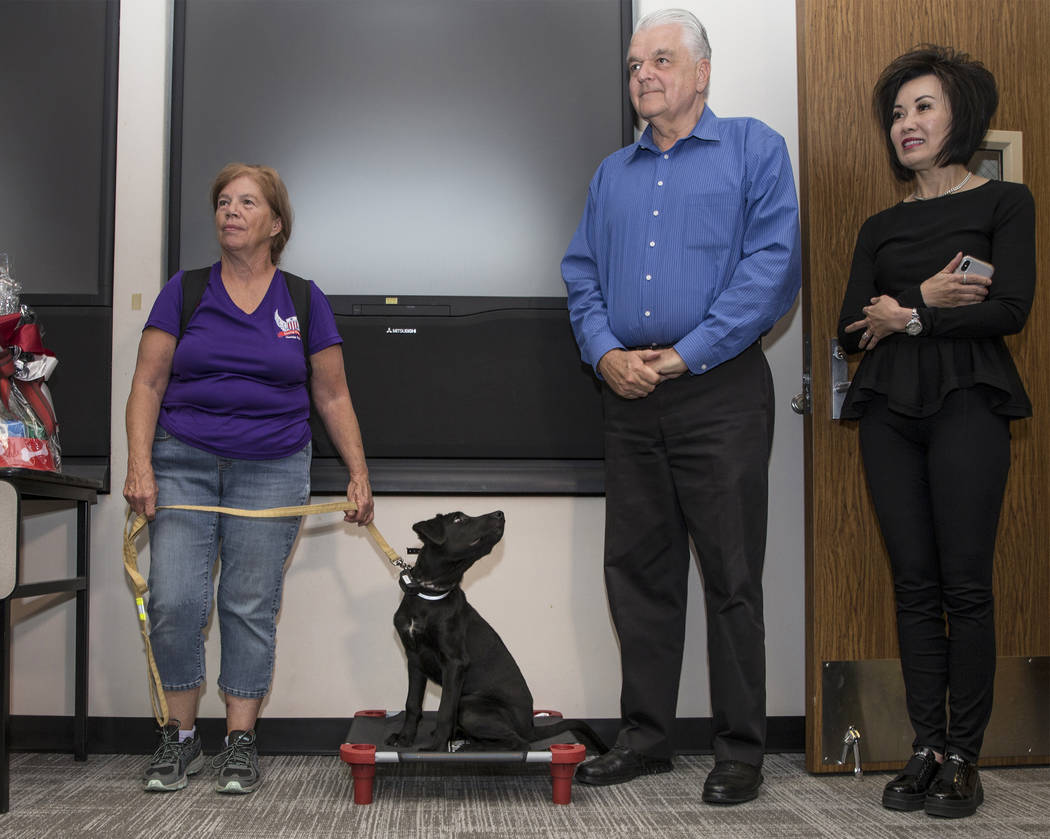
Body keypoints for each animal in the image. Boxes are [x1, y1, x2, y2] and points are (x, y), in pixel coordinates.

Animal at [388, 512, 609, 756]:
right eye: (458, 520)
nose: (500, 513)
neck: (429, 595)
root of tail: (530, 726)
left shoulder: (455, 663)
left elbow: (445, 710)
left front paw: (436, 749)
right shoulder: (414, 659)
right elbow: (412, 704)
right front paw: (405, 738)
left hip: (470, 705)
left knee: (519, 743)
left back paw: (473, 748)